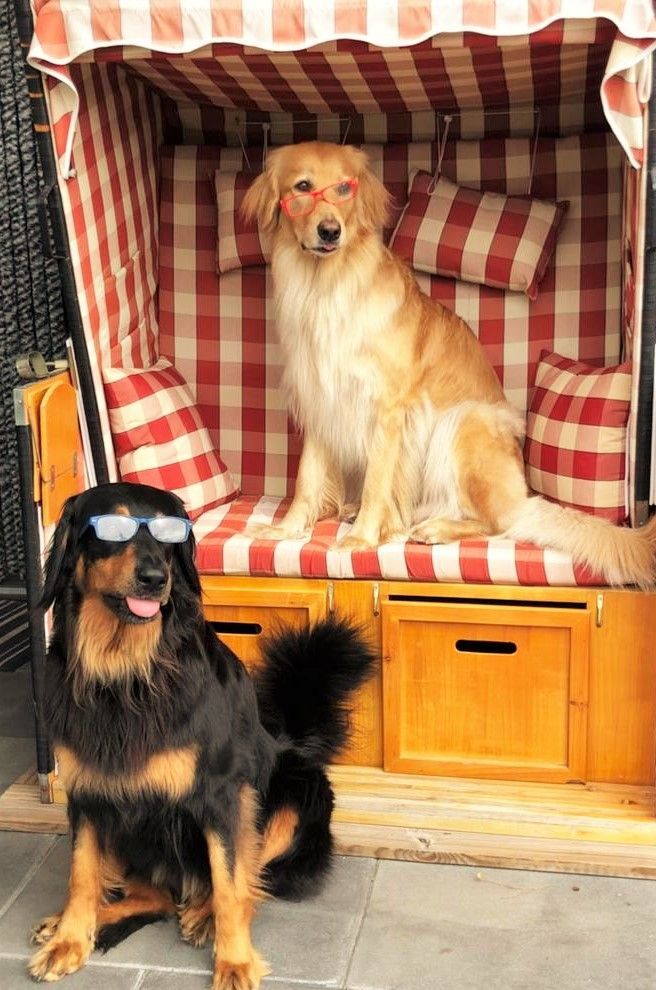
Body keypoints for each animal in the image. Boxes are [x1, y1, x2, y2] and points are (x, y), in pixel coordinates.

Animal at [28, 481, 375, 988]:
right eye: (113, 529)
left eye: (171, 534)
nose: (155, 578)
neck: (126, 671)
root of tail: (289, 740)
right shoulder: (89, 791)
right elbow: (82, 871)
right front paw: (69, 938)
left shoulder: (221, 793)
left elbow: (230, 880)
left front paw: (234, 961)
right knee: (154, 895)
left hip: (294, 791)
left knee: (246, 880)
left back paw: (203, 914)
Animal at [241, 139, 656, 587]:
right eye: (303, 186)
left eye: (344, 188)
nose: (330, 231)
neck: (328, 285)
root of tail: (526, 496)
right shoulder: (320, 399)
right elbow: (307, 480)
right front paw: (286, 530)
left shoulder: (390, 410)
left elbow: (375, 483)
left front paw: (361, 539)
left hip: (465, 422)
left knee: (499, 523)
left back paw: (434, 528)